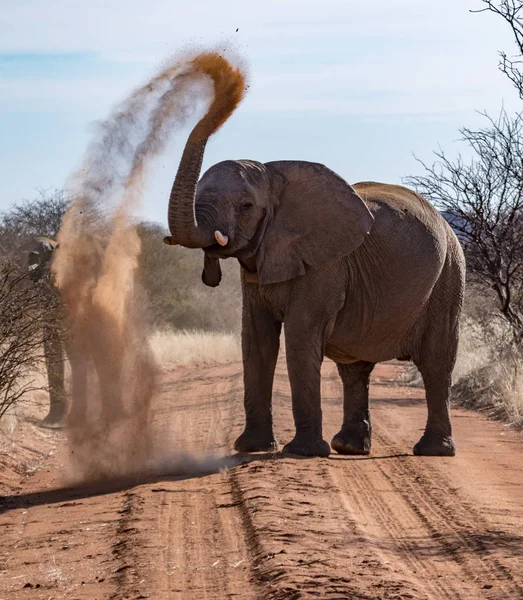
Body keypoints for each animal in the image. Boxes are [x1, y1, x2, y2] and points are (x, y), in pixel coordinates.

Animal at [164, 81, 466, 460]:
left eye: (246, 207)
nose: (224, 90)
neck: (274, 175)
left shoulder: (325, 264)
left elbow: (299, 334)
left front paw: (301, 453)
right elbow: (255, 340)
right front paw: (252, 447)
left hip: (449, 275)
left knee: (437, 363)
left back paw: (433, 451)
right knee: (355, 367)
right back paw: (348, 447)